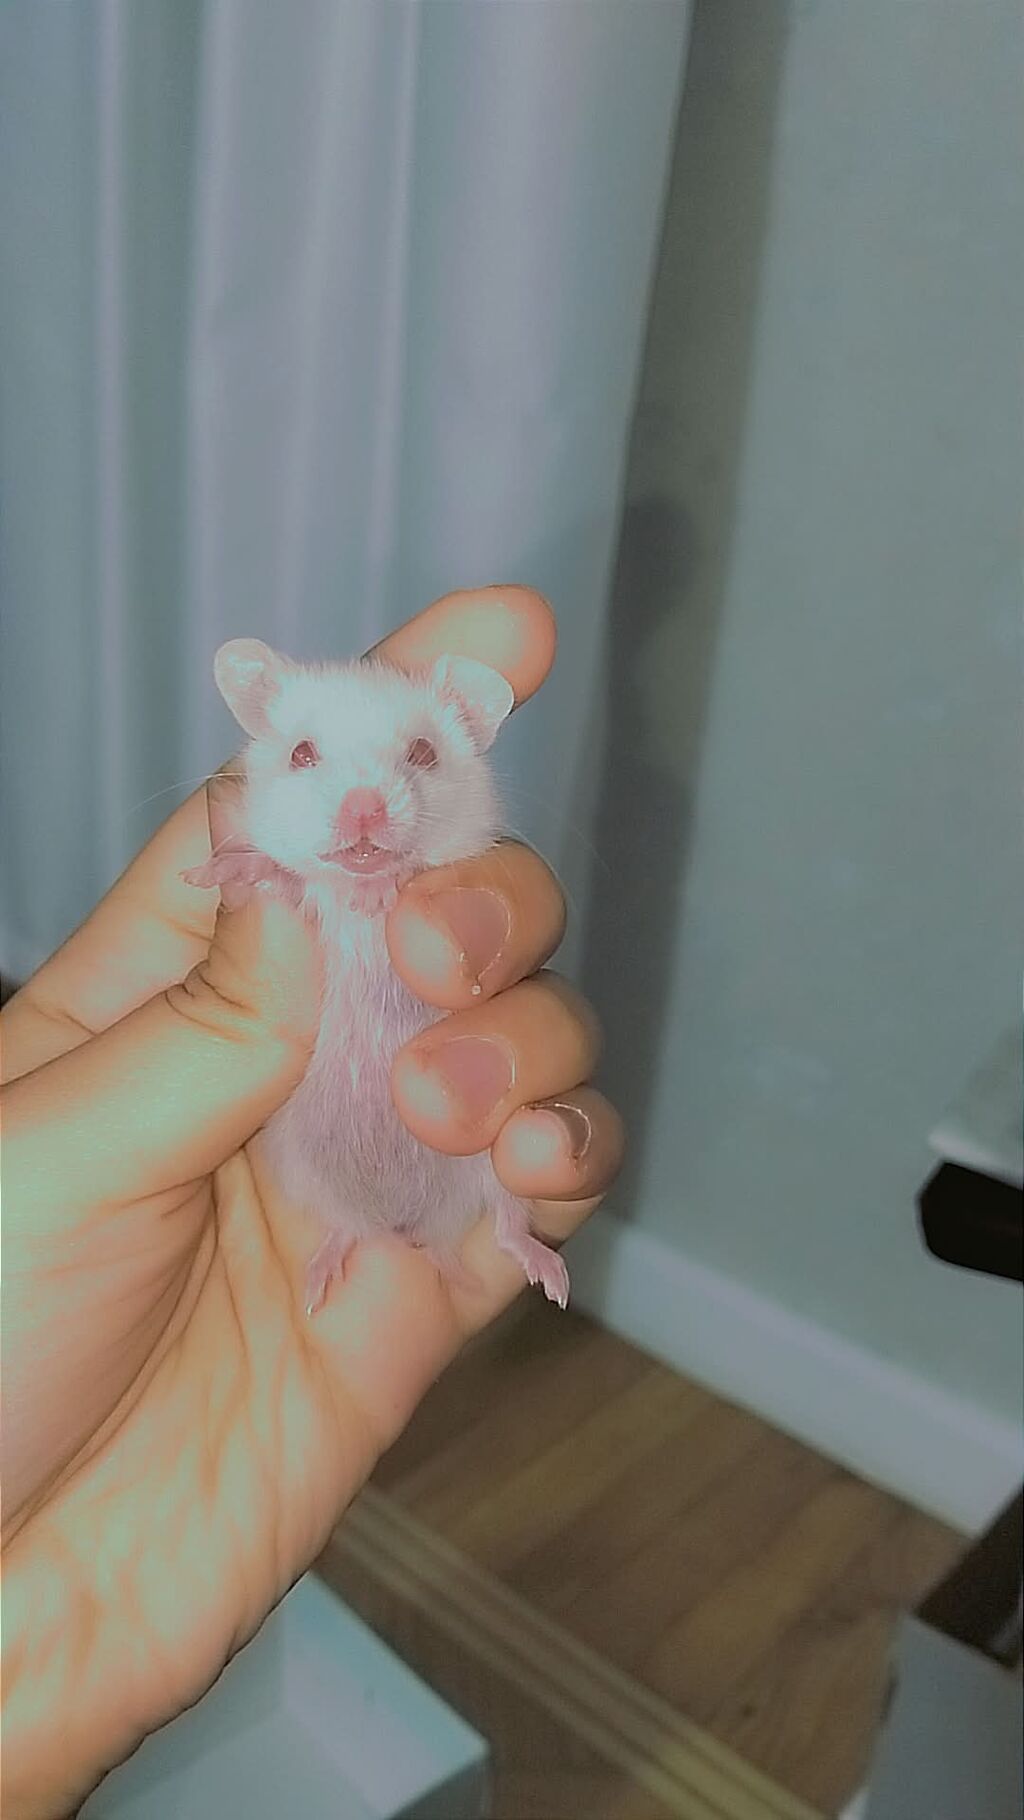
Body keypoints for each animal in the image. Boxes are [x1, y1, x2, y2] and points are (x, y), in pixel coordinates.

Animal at [183, 638, 570, 1317]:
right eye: (302, 753)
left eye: (423, 753)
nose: (364, 807)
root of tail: (406, 1224)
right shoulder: (305, 902)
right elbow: (287, 878)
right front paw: (209, 872)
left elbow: (411, 880)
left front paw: (384, 889)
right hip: (303, 1168)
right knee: (345, 1229)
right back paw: (317, 1287)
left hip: (496, 1164)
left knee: (506, 1225)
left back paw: (552, 1279)